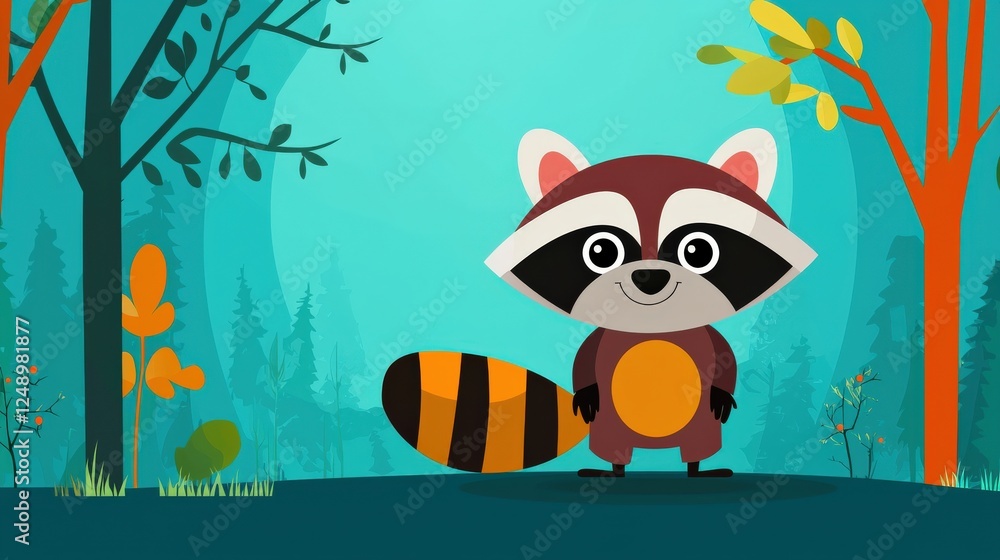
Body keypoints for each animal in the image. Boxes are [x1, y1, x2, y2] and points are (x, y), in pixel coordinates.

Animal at [382, 128, 816, 478]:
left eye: (698, 250)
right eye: (602, 251)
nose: (649, 277)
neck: (653, 326)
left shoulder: (704, 338)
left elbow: (722, 352)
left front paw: (724, 391)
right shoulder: (605, 339)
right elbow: (586, 356)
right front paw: (586, 390)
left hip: (701, 428)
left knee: (696, 449)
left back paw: (700, 471)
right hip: (610, 428)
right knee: (615, 451)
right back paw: (610, 471)